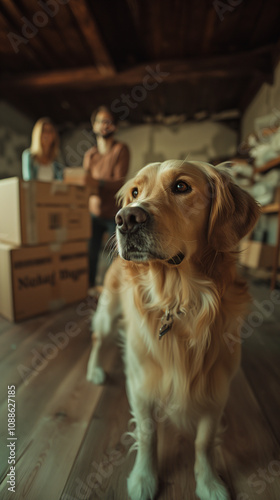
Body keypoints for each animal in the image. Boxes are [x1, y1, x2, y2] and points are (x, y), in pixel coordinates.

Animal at [87, 161, 260, 500]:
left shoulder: (216, 390)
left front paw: (209, 483)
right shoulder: (141, 384)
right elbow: (148, 433)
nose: (125, 218)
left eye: (181, 187)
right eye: (135, 192)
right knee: (97, 338)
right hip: (108, 312)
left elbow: (203, 442)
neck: (180, 300)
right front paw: (144, 478)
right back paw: (95, 370)